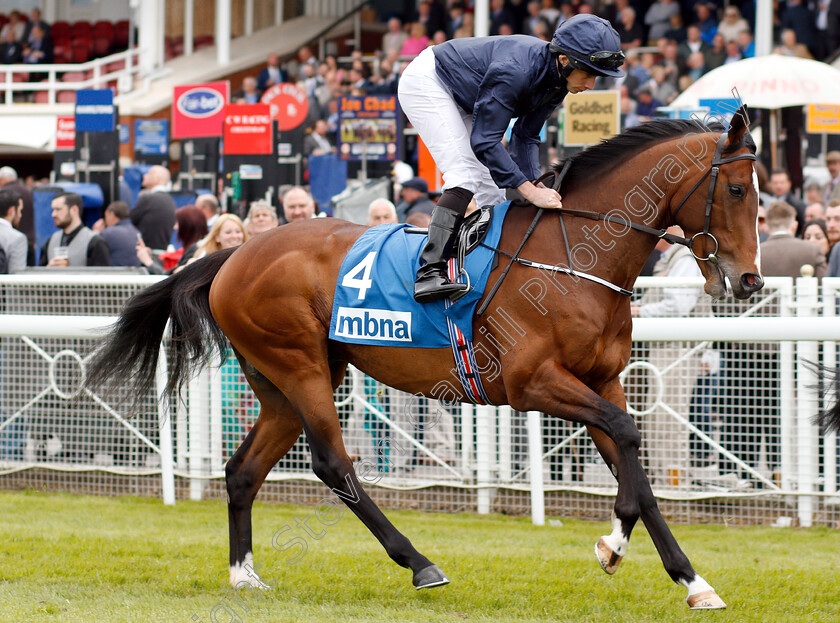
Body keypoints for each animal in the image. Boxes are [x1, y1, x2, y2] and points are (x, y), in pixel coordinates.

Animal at [83, 111, 760, 608]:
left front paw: (688, 579)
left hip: (281, 379)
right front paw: (616, 543)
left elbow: (631, 460)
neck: (572, 257)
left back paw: (244, 575)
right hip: (300, 367)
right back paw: (419, 563)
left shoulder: (602, 380)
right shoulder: (534, 383)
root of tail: (235, 254)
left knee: (244, 470)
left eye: (757, 196)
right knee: (333, 464)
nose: (749, 280)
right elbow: (626, 440)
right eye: (734, 189)